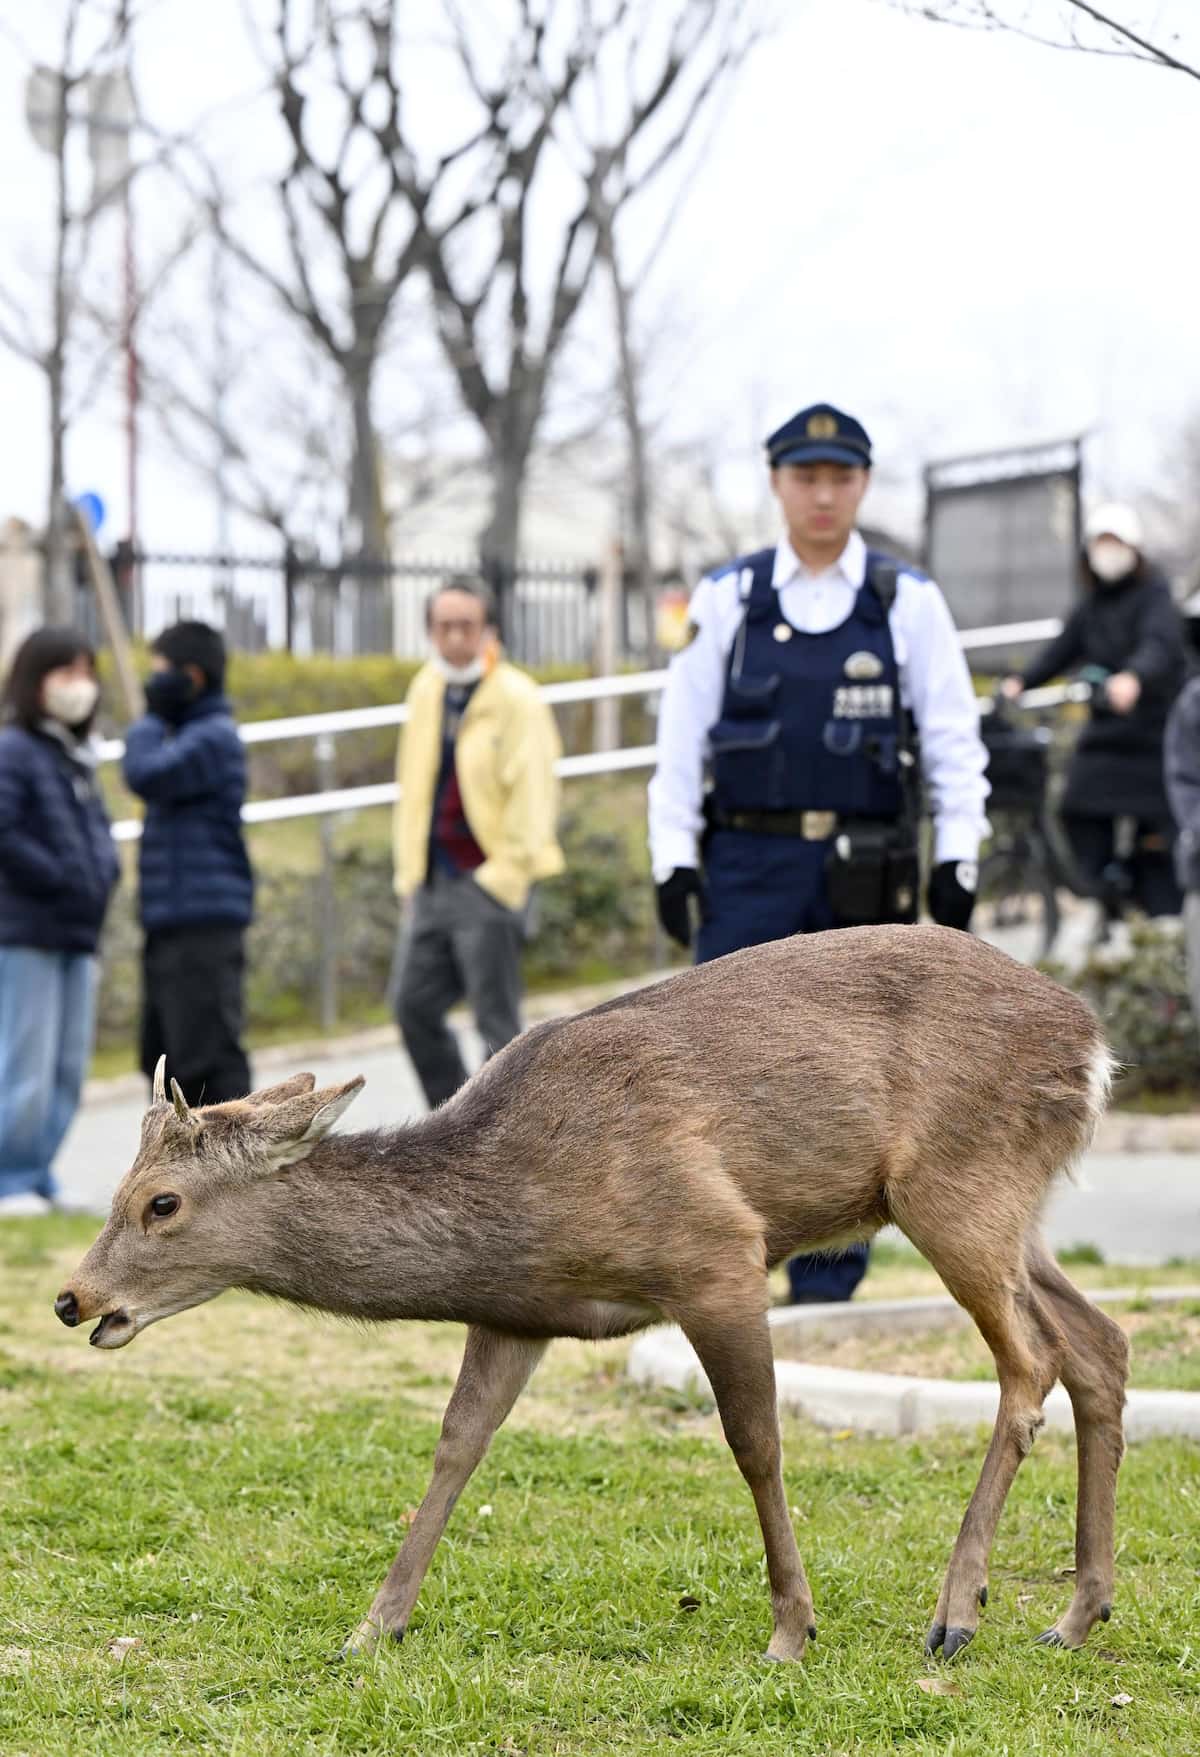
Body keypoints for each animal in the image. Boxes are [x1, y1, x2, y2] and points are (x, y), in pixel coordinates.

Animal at [54, 924, 1128, 1666]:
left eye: (160, 1201)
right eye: (118, 1187)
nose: (72, 1298)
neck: (519, 1205)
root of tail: (1093, 1044)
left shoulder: (718, 1253)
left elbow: (756, 1441)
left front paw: (791, 1630)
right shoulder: (517, 1312)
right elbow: (455, 1447)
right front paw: (373, 1627)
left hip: (953, 1181)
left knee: (1031, 1359)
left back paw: (957, 1613)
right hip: (1008, 1204)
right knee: (1100, 1343)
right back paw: (1076, 1613)